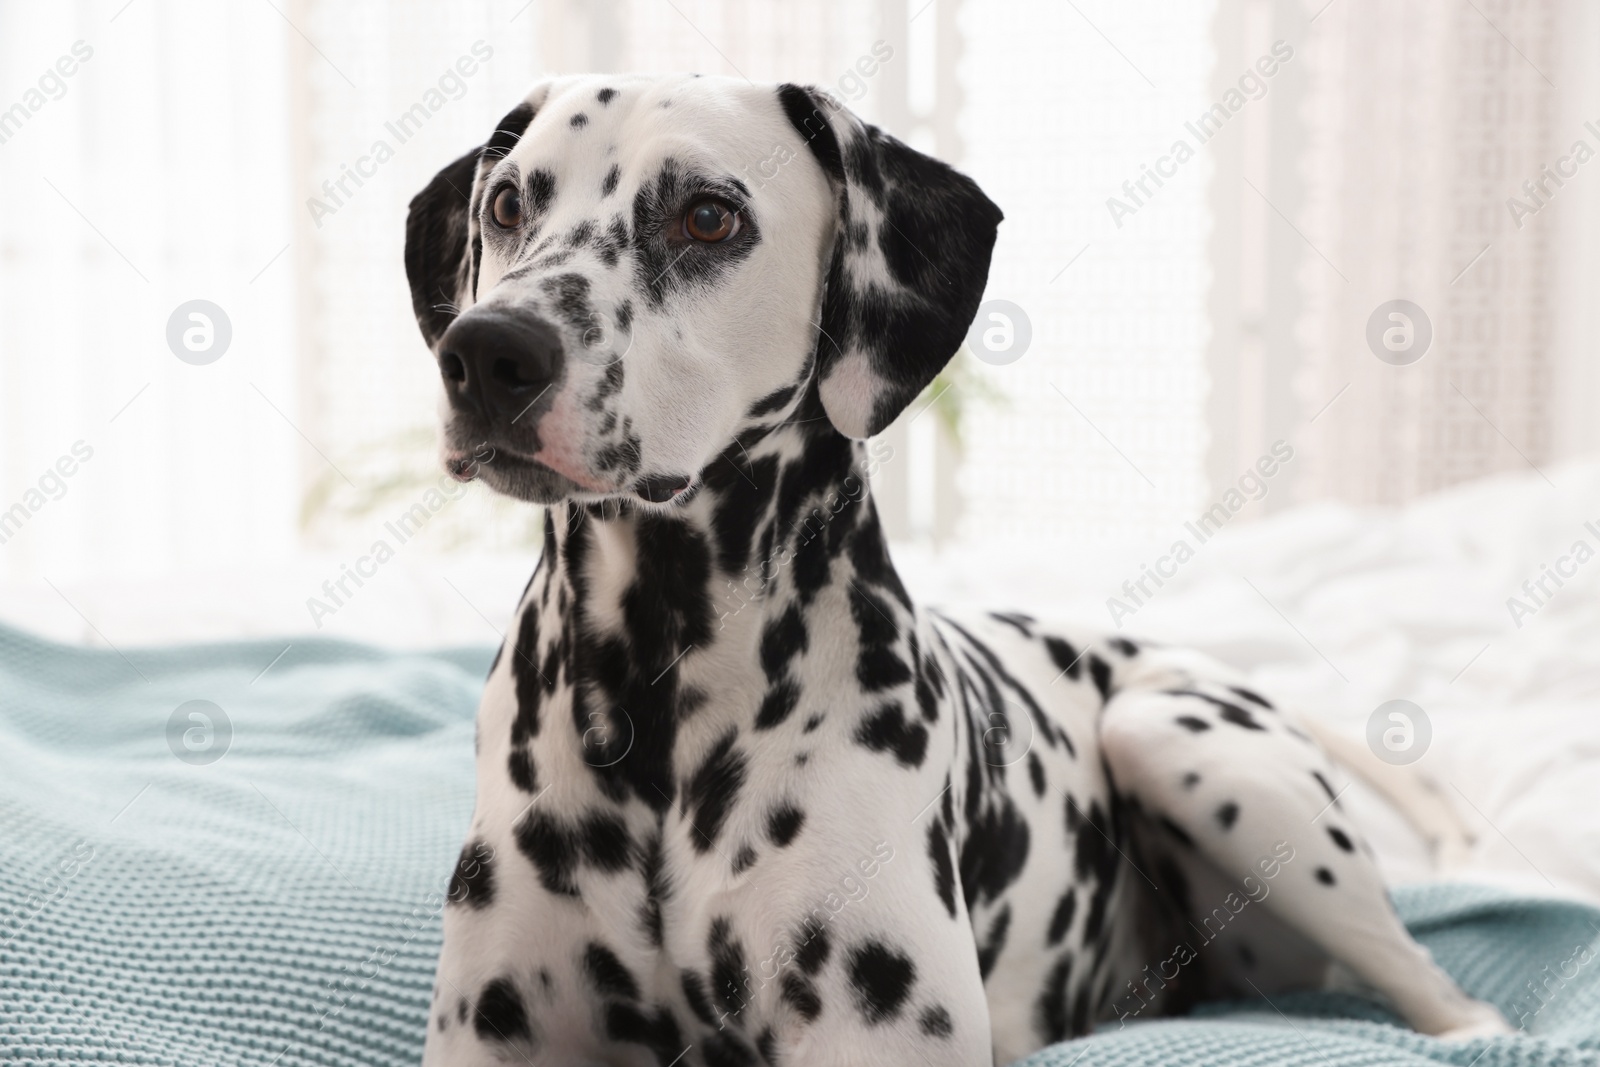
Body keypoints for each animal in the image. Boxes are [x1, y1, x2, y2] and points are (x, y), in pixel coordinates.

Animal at [406, 75, 1504, 1067]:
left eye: (708, 216)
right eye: (507, 203)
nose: (487, 352)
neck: (659, 678)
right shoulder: (493, 1030)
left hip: (1187, 748)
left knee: (1450, 997)